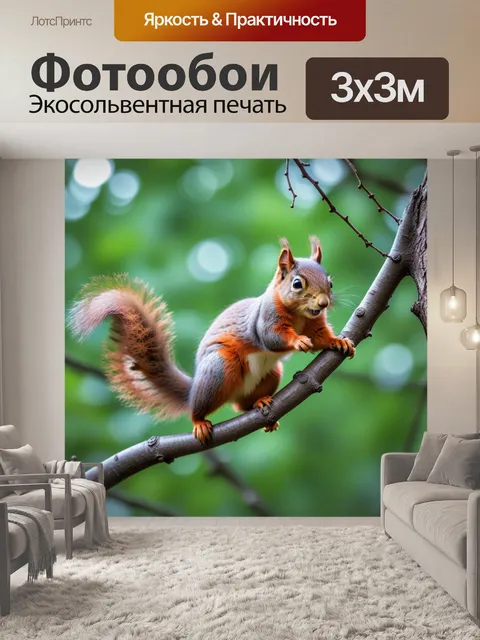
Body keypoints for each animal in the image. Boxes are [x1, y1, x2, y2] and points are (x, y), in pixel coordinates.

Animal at [69, 236, 355, 445]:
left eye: (330, 282)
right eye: (297, 284)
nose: (323, 303)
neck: (299, 316)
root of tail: (194, 386)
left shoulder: (315, 324)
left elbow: (321, 336)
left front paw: (339, 342)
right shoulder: (264, 320)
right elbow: (272, 337)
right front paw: (298, 342)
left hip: (271, 374)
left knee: (242, 406)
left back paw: (261, 404)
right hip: (220, 367)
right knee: (199, 407)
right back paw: (200, 422)